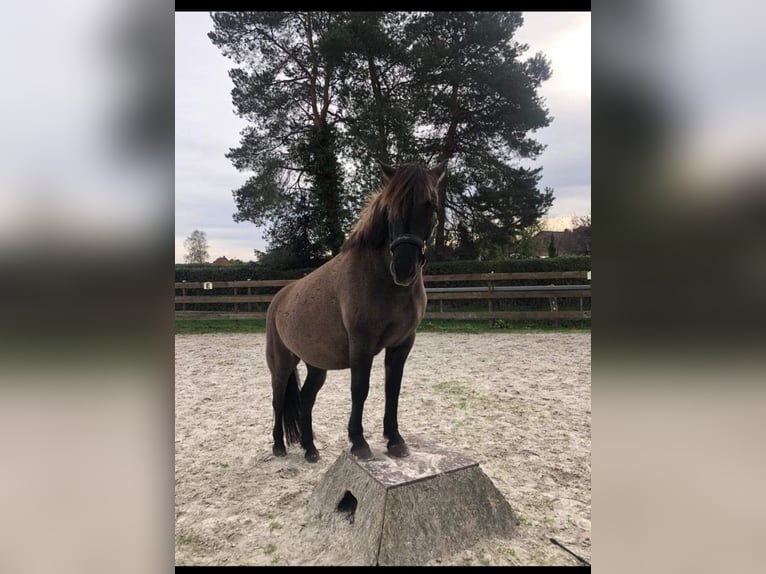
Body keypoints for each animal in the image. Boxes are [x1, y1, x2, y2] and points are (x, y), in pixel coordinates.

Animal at [266, 159, 450, 464]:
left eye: (431, 205)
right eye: (390, 208)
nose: (404, 268)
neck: (381, 280)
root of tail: (278, 299)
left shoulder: (402, 343)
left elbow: (392, 389)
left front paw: (395, 440)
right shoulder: (361, 345)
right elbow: (359, 389)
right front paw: (359, 442)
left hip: (316, 365)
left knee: (306, 399)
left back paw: (310, 449)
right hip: (281, 364)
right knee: (278, 400)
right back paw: (279, 446)